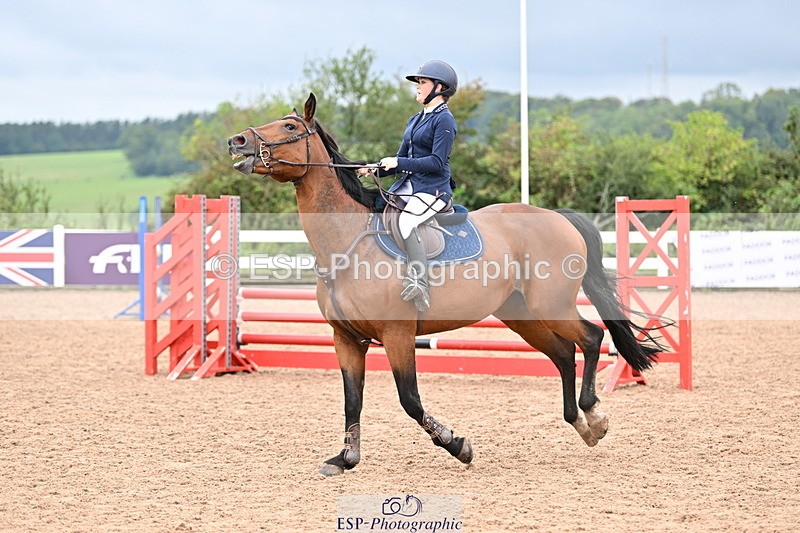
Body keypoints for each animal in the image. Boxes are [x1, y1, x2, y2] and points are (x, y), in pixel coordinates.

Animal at [227, 93, 664, 476]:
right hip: (520, 315)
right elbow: (353, 400)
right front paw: (345, 459)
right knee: (562, 354)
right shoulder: (346, 338)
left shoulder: (398, 334)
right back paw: (580, 423)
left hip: (551, 307)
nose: (238, 141)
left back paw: (594, 415)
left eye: (289, 126)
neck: (346, 242)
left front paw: (458, 445)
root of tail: (556, 216)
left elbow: (409, 400)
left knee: (590, 337)